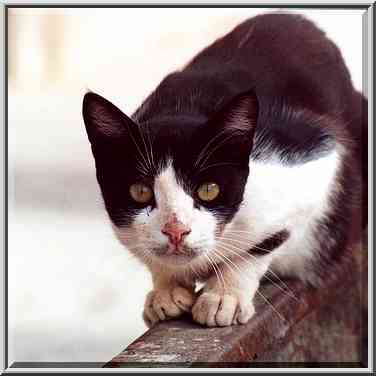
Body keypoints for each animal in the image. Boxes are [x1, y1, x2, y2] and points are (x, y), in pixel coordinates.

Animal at [81, 13, 368, 328]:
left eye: (209, 190)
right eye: (140, 191)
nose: (175, 231)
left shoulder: (315, 159)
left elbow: (265, 242)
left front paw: (223, 297)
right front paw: (166, 290)